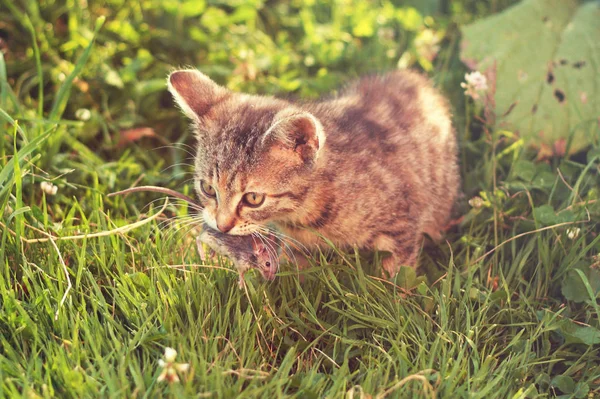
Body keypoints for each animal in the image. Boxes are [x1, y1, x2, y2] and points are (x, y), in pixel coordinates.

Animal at [169, 70, 460, 276]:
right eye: (208, 188)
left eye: (253, 198)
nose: (222, 226)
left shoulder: (403, 221)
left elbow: (399, 276)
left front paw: (396, 304)